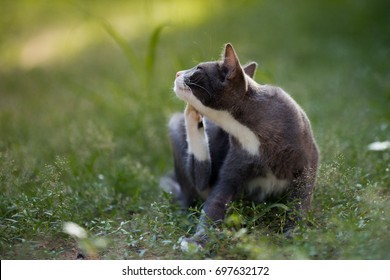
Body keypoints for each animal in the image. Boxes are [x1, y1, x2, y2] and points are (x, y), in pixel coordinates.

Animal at [161, 42, 320, 248]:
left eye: (198, 68)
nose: (178, 73)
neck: (245, 128)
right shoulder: (234, 163)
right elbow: (214, 203)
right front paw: (198, 239)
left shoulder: (308, 160)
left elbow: (301, 199)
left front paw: (294, 232)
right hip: (175, 127)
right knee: (195, 187)